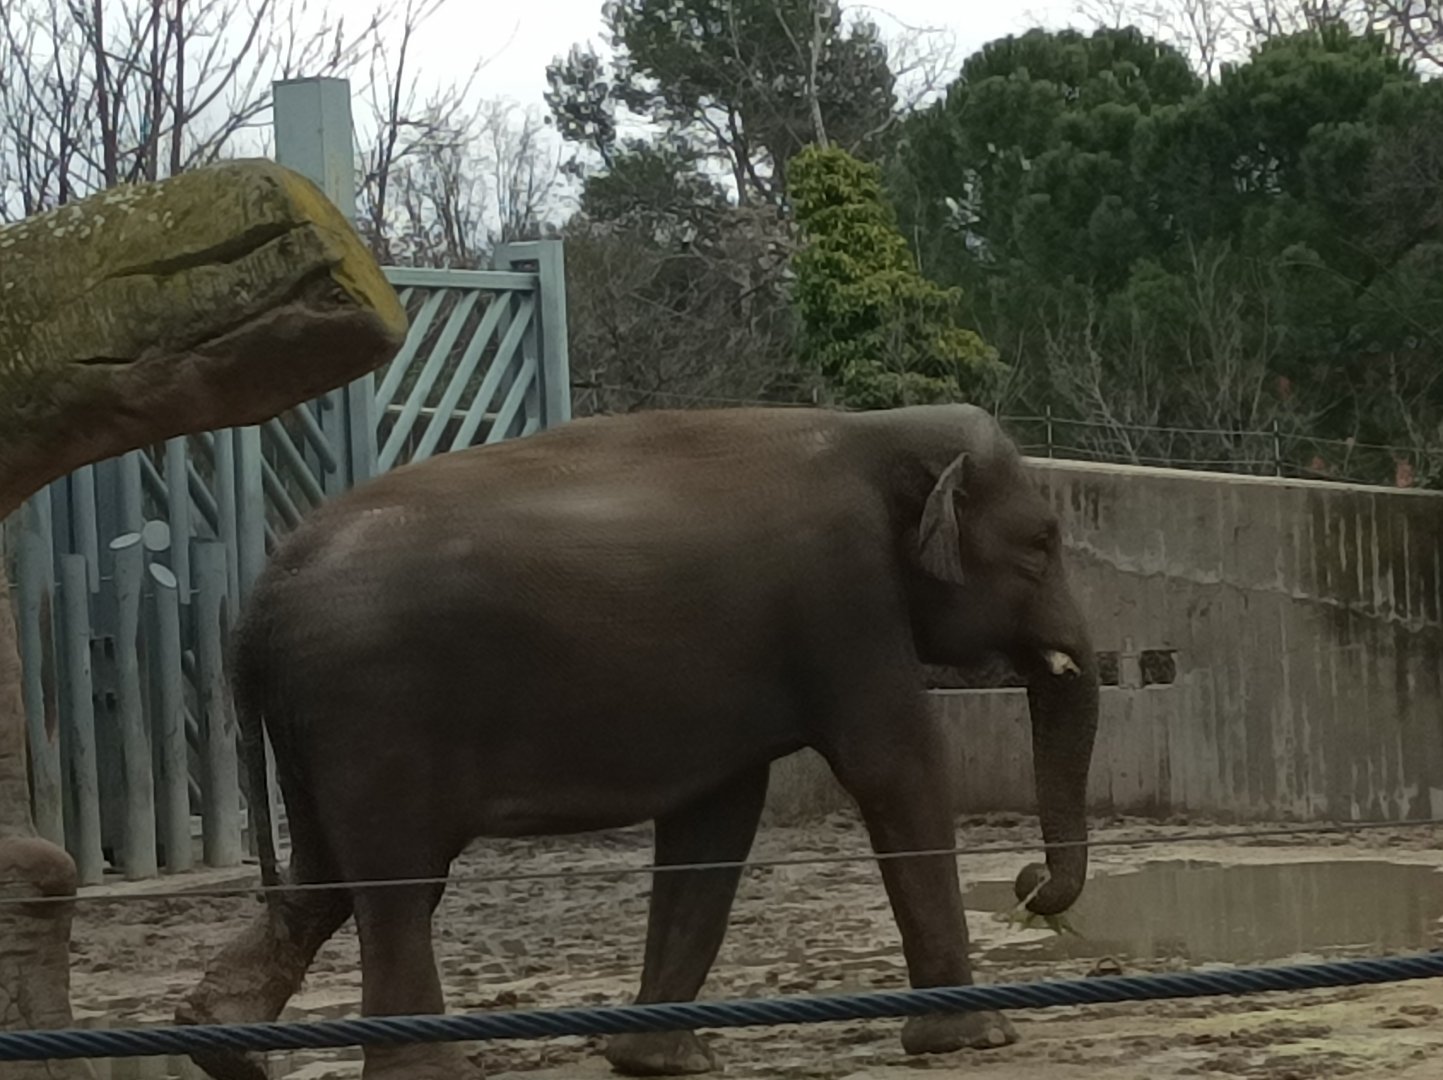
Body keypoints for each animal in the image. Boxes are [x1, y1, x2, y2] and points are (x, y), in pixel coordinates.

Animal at [176, 402, 1100, 1080]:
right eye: (1040, 546)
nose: (1026, 886)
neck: (873, 426)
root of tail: (261, 593)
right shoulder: (844, 599)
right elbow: (894, 767)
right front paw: (978, 1042)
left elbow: (714, 821)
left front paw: (661, 1060)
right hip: (375, 711)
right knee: (397, 884)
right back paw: (419, 1072)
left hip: (316, 728)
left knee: (326, 879)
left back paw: (222, 1044)